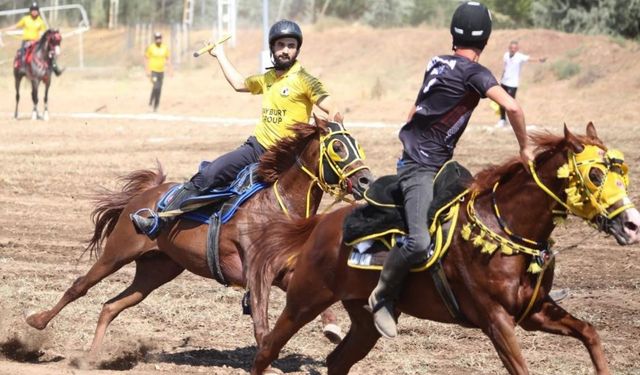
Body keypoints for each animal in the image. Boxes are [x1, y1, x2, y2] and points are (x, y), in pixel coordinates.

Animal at [26, 117, 376, 358]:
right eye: (338, 147)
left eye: (358, 145)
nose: (365, 180)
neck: (278, 206)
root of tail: (145, 195)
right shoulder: (256, 273)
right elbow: (261, 322)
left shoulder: (283, 273)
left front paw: (332, 327)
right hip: (117, 252)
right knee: (79, 287)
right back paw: (37, 322)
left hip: (157, 270)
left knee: (112, 306)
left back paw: (92, 356)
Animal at [249, 124, 640, 375]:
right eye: (595, 176)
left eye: (621, 175)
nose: (632, 224)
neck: (505, 225)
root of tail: (322, 224)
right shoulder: (496, 320)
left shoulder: (535, 312)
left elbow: (590, 333)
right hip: (305, 299)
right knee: (267, 350)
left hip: (364, 321)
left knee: (336, 362)